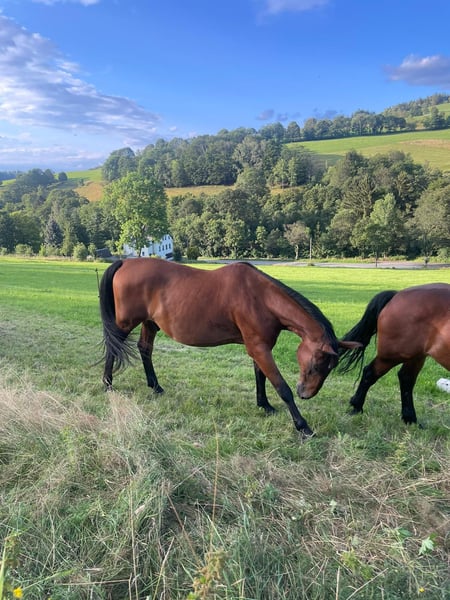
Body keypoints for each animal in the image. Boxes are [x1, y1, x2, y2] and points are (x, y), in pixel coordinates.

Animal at [99, 258, 359, 437]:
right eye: (318, 363)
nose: (305, 393)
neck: (261, 298)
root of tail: (125, 262)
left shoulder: (258, 347)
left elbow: (260, 377)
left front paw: (264, 405)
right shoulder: (259, 348)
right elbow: (281, 386)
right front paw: (302, 426)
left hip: (150, 323)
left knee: (145, 349)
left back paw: (155, 386)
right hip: (125, 324)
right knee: (114, 348)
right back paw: (108, 383)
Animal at [338, 283, 450, 426]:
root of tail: (397, 295)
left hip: (416, 355)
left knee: (406, 379)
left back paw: (409, 418)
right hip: (393, 355)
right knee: (370, 373)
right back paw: (356, 407)